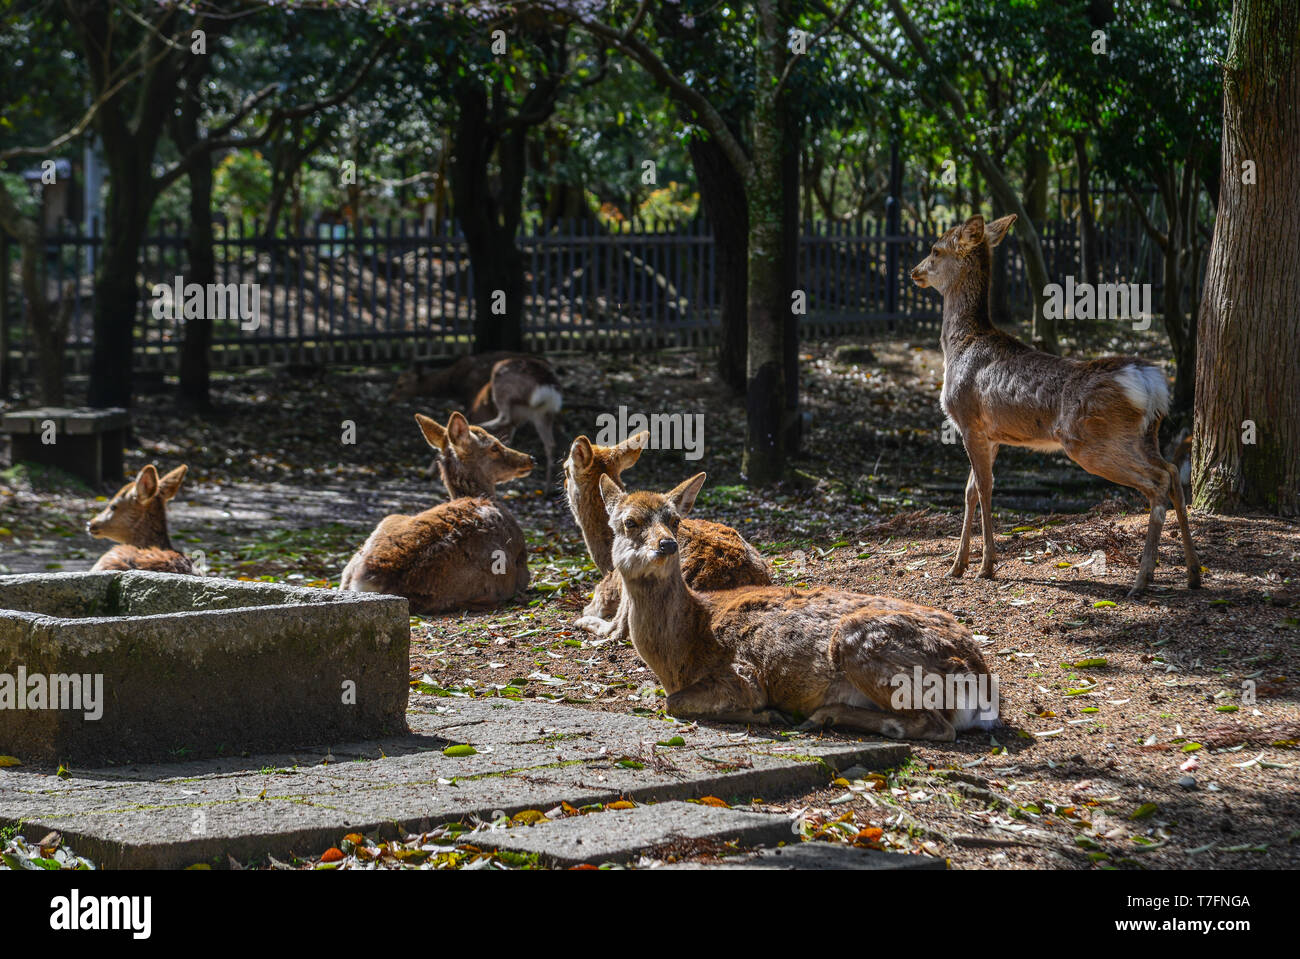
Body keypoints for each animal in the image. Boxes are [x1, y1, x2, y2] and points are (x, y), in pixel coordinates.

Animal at [392, 354, 562, 489]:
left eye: (400, 384)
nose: (390, 399)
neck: (451, 384)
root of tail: (549, 384)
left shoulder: (471, 393)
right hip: (543, 413)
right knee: (550, 443)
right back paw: (548, 489)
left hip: (501, 382)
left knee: (504, 417)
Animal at [600, 473, 998, 740]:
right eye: (629, 522)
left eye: (674, 520)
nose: (666, 545)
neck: (678, 655)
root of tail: (980, 685)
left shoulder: (742, 675)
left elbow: (675, 703)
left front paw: (767, 715)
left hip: (865, 644)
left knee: (938, 726)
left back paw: (823, 715)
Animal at [909, 213, 1199, 597]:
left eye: (935, 249)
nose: (914, 271)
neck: (958, 347)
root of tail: (1150, 384)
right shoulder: (992, 434)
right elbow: (970, 490)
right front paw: (957, 566)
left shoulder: (969, 420)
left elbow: (985, 488)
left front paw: (986, 566)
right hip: (1143, 436)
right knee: (1172, 471)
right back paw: (1193, 574)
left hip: (1090, 442)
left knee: (1158, 482)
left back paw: (1142, 580)